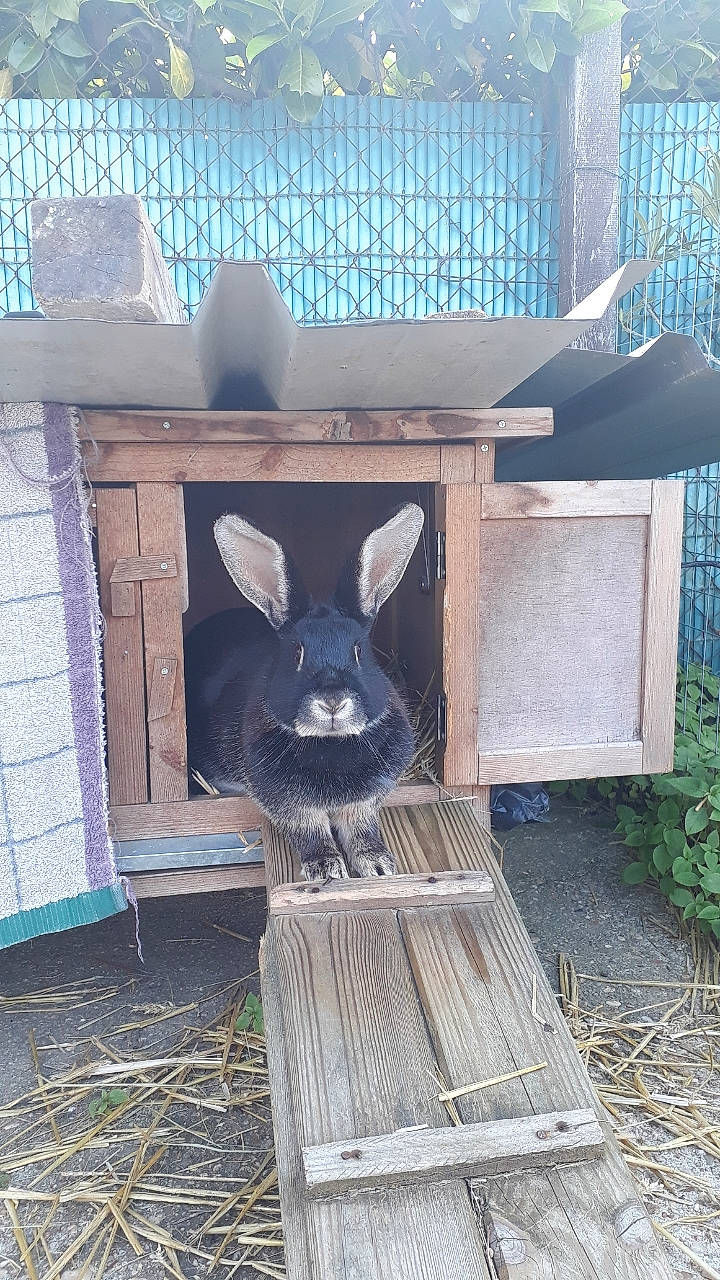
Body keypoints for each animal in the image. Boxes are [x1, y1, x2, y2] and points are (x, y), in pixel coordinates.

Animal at [184, 503, 425, 882]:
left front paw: (377, 865)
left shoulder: (364, 803)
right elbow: (310, 830)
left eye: (359, 651)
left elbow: (361, 828)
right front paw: (326, 868)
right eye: (296, 653)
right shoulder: (290, 804)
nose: (332, 702)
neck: (331, 743)